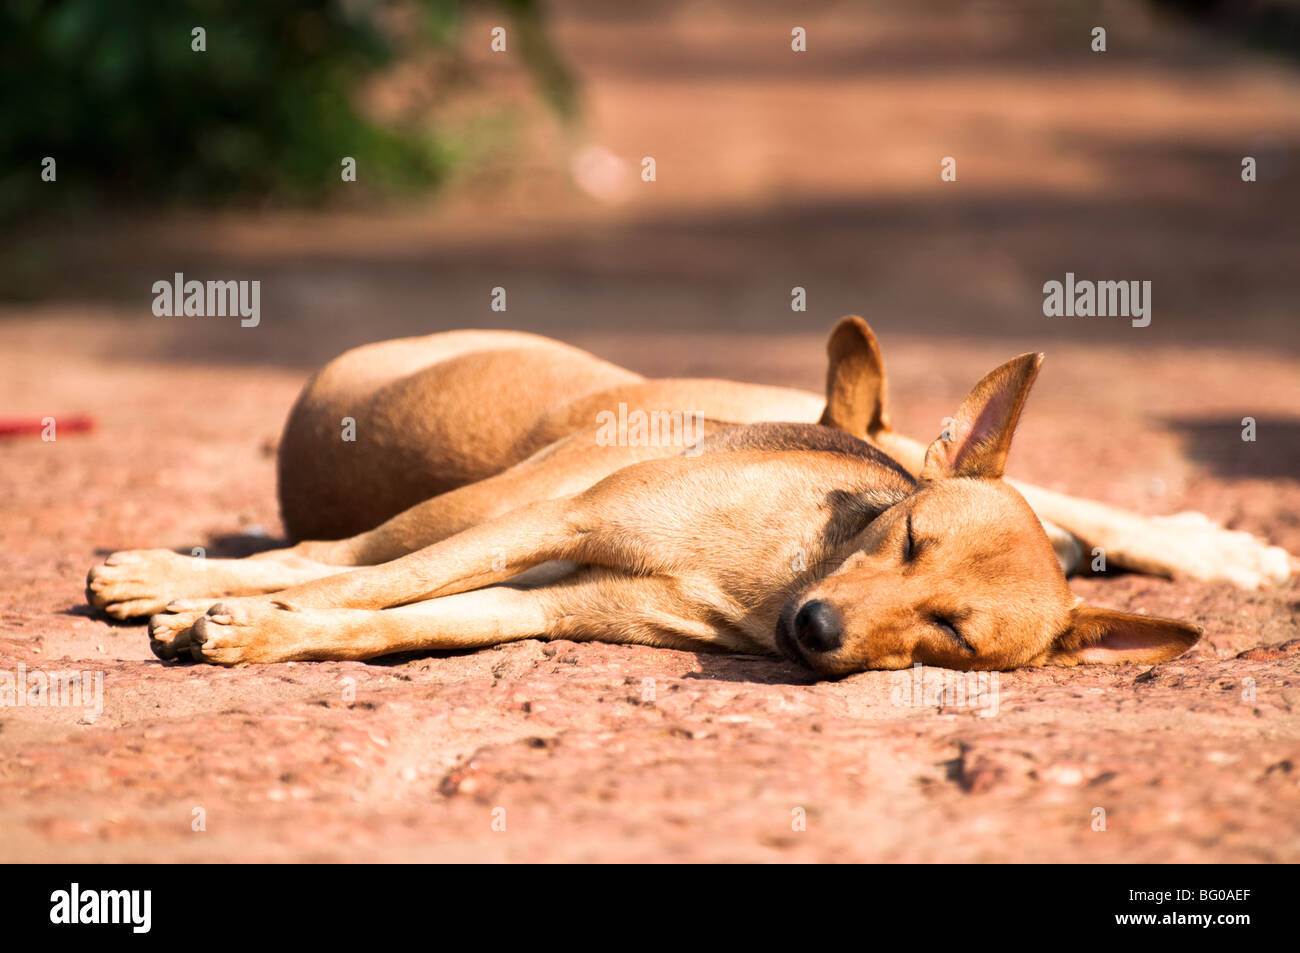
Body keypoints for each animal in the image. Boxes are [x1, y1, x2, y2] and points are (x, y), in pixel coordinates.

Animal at [83, 317, 1289, 670]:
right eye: (904, 539)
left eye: (953, 632)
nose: (816, 629)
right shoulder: (556, 519)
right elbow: (361, 589)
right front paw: (231, 612)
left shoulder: (550, 599)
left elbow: (389, 623)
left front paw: (264, 634)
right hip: (493, 501)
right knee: (331, 553)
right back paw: (162, 576)